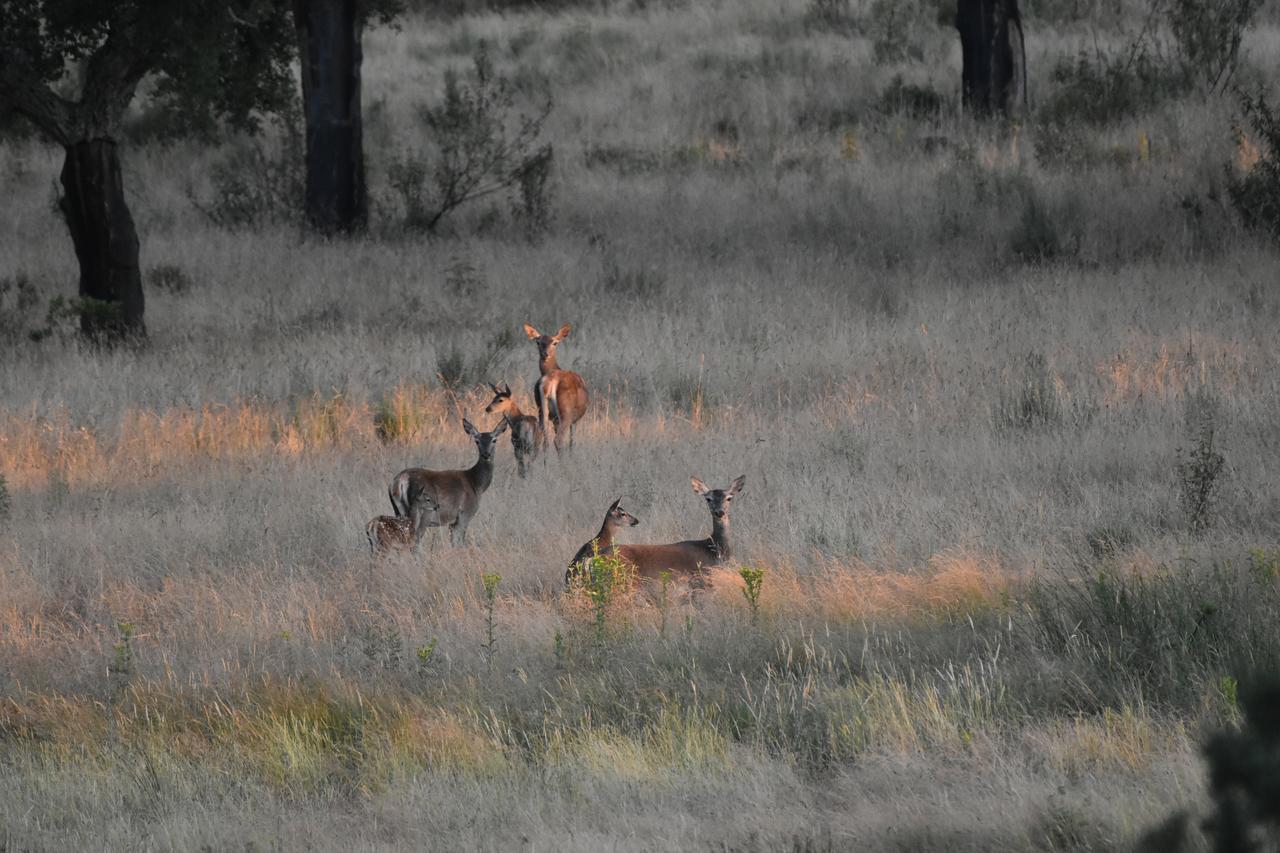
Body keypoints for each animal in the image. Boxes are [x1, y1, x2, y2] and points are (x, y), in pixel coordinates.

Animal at [386, 417, 506, 545]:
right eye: (477, 441)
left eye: (494, 440)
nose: (486, 455)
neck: (476, 484)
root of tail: (401, 480)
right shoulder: (464, 514)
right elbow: (460, 543)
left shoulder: (452, 523)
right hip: (423, 511)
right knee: (416, 539)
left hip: (398, 511)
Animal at [522, 318, 586, 450]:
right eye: (538, 342)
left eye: (555, 343)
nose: (545, 354)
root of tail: (551, 383)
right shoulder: (575, 419)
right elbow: (572, 442)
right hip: (566, 411)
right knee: (558, 440)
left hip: (542, 409)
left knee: (544, 440)